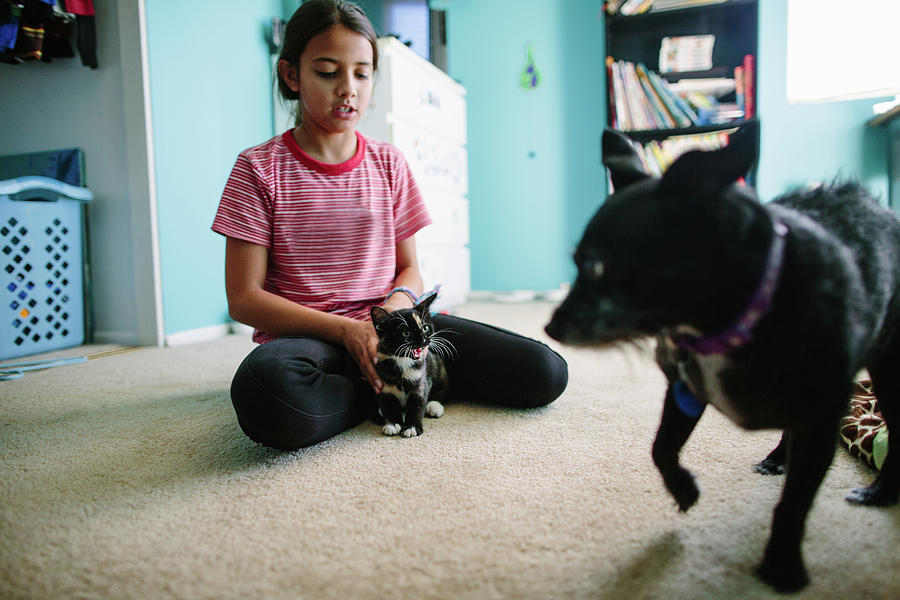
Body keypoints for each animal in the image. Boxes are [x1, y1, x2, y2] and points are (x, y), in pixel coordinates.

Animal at [370, 292, 454, 438]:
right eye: (406, 332)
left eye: (425, 328)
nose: (424, 339)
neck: (403, 361)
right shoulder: (384, 385)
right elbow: (388, 405)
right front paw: (392, 424)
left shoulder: (421, 382)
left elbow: (417, 405)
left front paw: (412, 427)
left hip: (439, 369)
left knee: (442, 389)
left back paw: (434, 406)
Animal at [544, 126, 896, 592]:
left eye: (596, 268)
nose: (550, 328)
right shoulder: (684, 388)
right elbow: (661, 447)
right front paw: (683, 490)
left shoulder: (823, 418)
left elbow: (795, 501)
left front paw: (782, 564)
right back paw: (778, 459)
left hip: (890, 369)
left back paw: (879, 492)